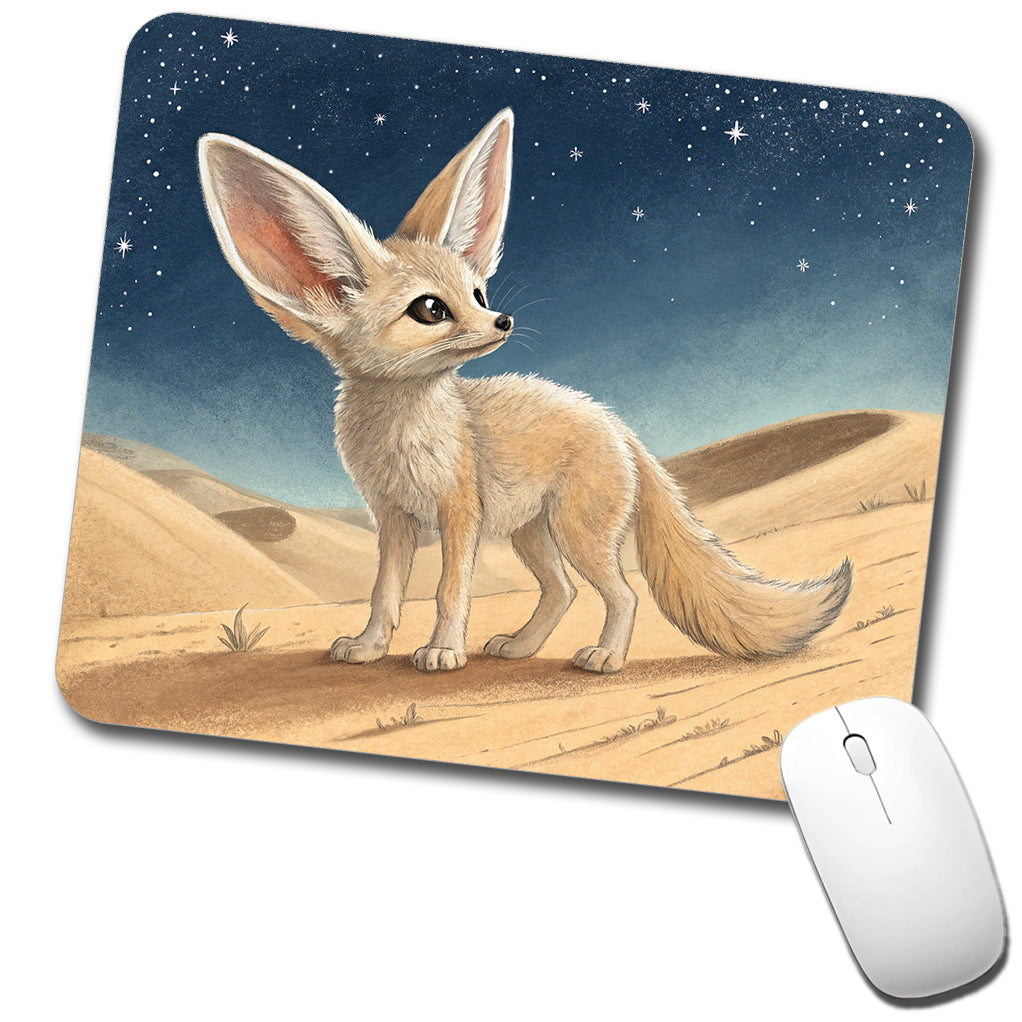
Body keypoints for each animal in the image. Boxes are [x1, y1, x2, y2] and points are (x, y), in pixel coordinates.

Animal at [197, 108, 851, 674]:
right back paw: (519, 647)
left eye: (478, 294)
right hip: (530, 532)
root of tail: (613, 422)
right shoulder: (393, 518)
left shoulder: (459, 511)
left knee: (623, 594)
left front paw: (443, 652)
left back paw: (605, 658)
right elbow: (385, 592)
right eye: (430, 309)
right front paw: (368, 646)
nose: (504, 320)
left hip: (575, 533)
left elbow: (448, 590)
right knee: (562, 592)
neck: (405, 428)